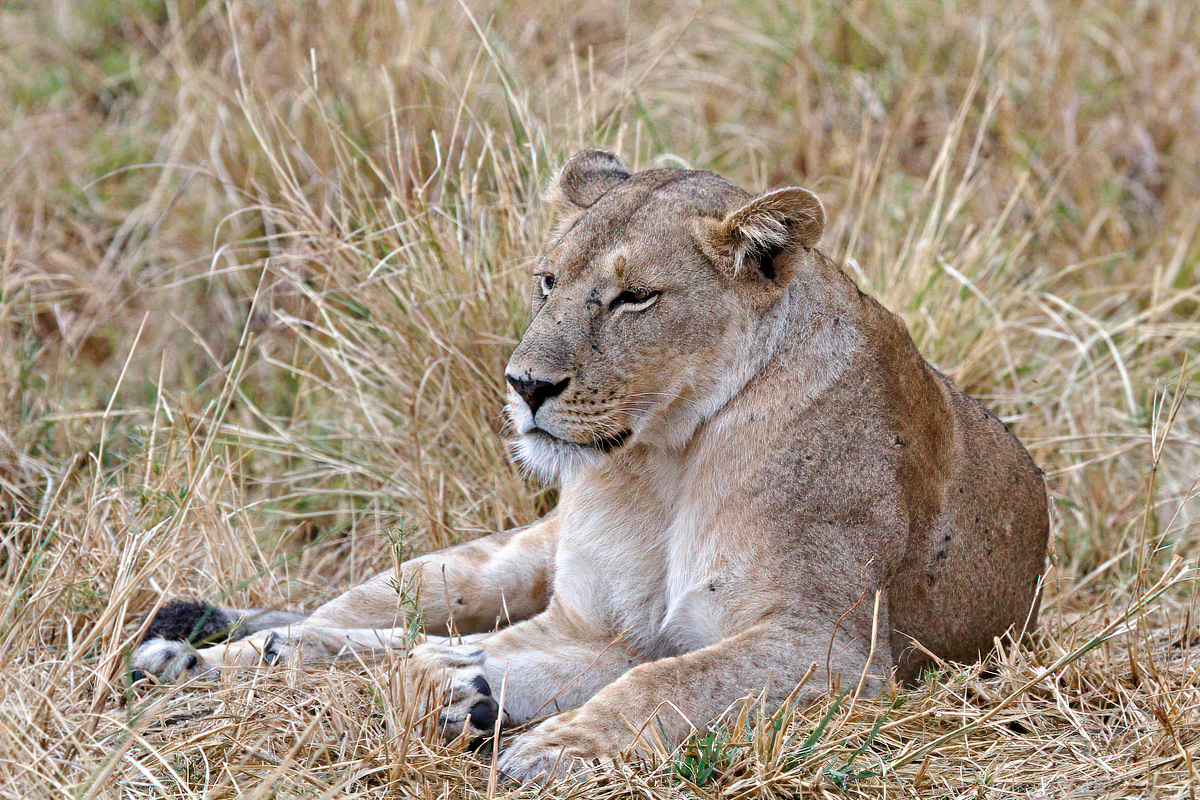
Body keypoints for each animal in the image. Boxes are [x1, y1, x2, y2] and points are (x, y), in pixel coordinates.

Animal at [133, 148, 1051, 782]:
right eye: (547, 280)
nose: (526, 385)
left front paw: (543, 747)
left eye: (634, 297)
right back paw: (204, 656)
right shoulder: (599, 623)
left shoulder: (830, 650)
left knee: (409, 643)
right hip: (484, 566)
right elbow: (617, 670)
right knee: (352, 618)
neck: (668, 454)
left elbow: (665, 684)